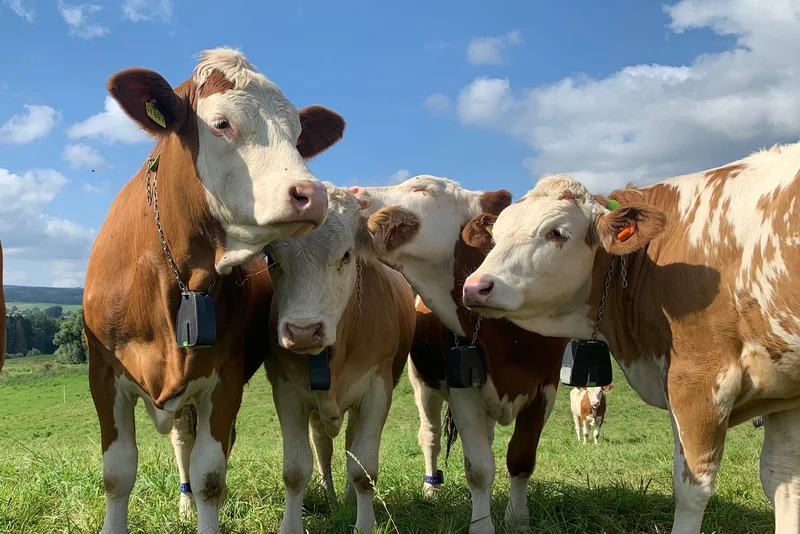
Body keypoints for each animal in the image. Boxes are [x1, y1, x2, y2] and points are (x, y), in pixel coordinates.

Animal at [82, 47, 346, 534]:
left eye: (298, 136)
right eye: (222, 123)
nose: (312, 194)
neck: (178, 280)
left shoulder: (224, 379)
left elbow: (209, 475)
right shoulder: (104, 374)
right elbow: (117, 474)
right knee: (180, 439)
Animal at [263, 185, 419, 534]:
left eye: (347, 254)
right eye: (271, 258)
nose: (303, 331)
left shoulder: (377, 388)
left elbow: (363, 468)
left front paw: (363, 522)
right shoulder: (286, 389)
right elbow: (295, 469)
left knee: (350, 448)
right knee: (323, 446)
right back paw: (331, 497)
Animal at [349, 175, 568, 533]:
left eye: (423, 189)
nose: (352, 190)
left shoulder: (545, 389)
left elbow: (521, 458)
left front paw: (518, 519)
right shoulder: (462, 390)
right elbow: (479, 468)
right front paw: (481, 524)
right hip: (423, 385)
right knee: (431, 436)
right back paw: (431, 489)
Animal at [461, 144, 800, 534]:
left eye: (557, 232)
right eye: (496, 235)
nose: (476, 286)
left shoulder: (699, 378)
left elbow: (692, 488)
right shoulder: (784, 390)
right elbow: (783, 480)